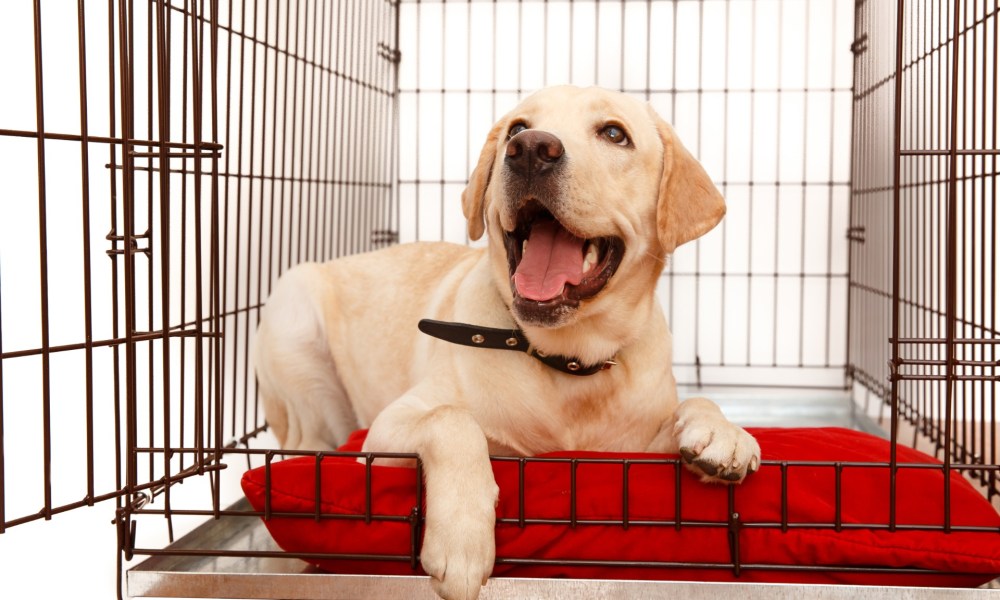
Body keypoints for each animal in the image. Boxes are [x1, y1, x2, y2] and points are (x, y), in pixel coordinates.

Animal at [254, 85, 760, 600]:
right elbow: (453, 419)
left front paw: (723, 433)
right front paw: (461, 537)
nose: (531, 149)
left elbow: (694, 405)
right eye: (517, 128)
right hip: (295, 319)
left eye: (615, 134)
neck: (565, 358)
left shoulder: (629, 452)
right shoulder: (387, 429)